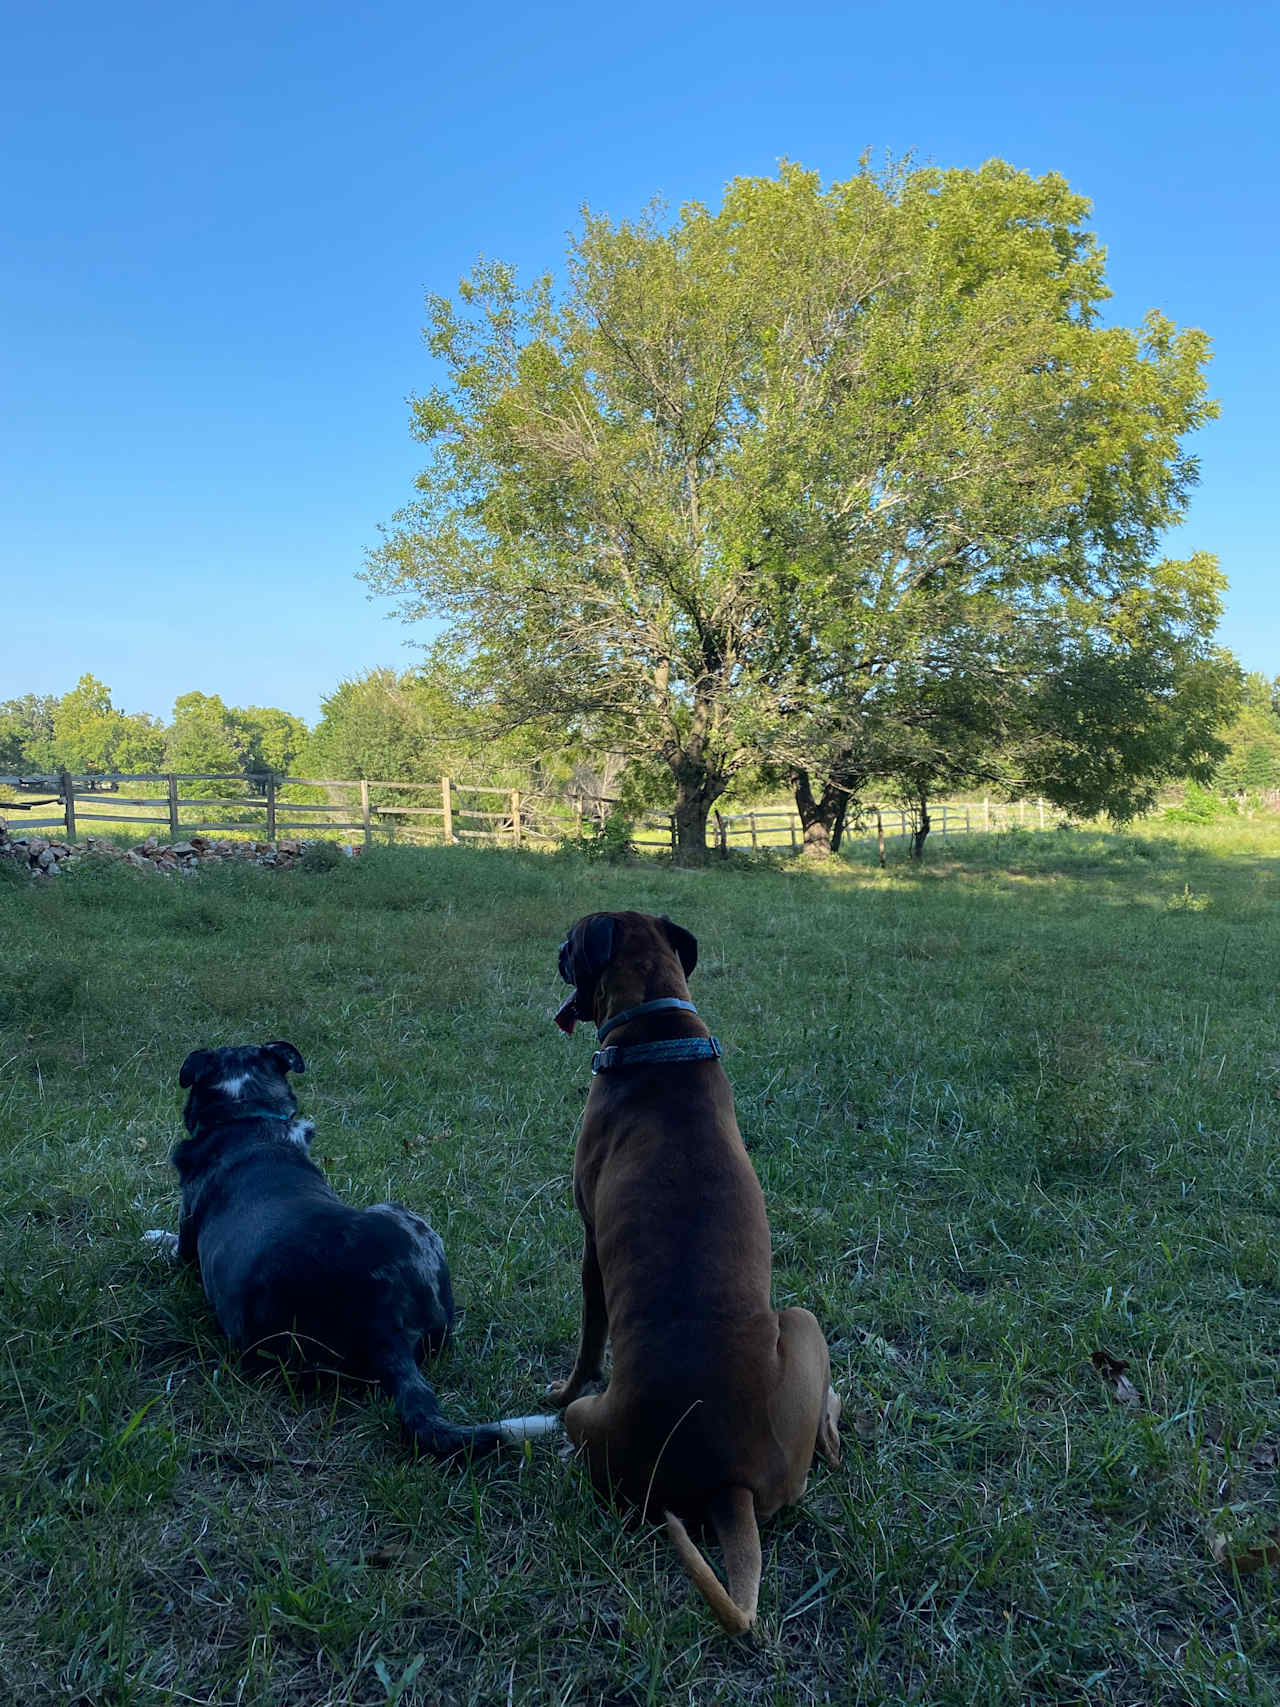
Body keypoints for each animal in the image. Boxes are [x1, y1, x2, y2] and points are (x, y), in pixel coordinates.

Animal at [145, 1031, 556, 1461]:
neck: (247, 1118)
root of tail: (384, 1325)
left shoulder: (186, 1242)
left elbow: (171, 1245)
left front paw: (153, 1236)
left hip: (394, 1208)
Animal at [549, 914, 843, 1631]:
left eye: (572, 942)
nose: (556, 951)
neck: (657, 1028)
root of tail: (726, 1478)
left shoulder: (590, 1242)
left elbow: (588, 1339)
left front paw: (559, 1384)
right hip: (800, 1327)